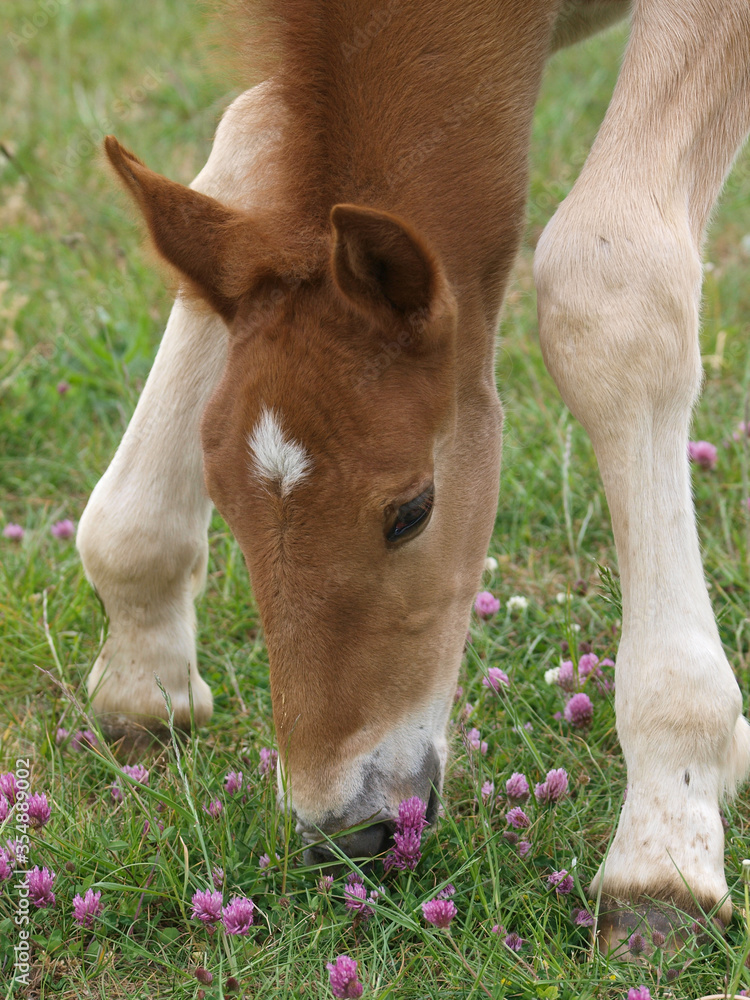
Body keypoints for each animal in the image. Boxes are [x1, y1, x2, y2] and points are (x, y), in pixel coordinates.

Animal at [76, 0, 750, 950]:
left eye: (411, 511)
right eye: (228, 510)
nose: (344, 834)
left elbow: (608, 284)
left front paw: (666, 845)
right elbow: (245, 141)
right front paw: (143, 662)